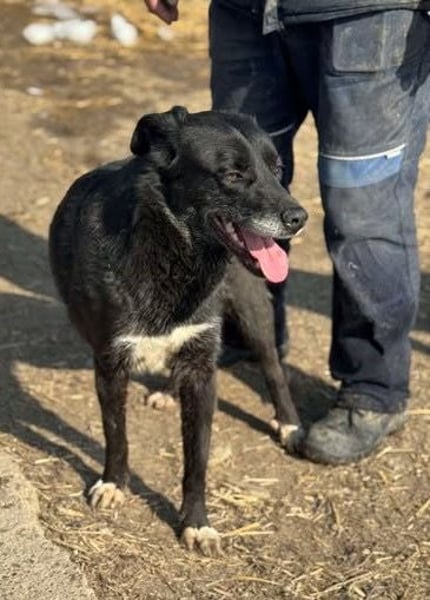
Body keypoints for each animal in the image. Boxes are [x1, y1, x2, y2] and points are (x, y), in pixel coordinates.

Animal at [48, 106, 307, 555]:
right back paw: (168, 391)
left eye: (277, 170)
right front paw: (114, 483)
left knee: (274, 369)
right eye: (233, 174)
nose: (299, 218)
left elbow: (197, 459)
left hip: (252, 313)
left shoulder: (202, 371)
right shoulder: (111, 364)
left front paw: (196, 523)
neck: (175, 255)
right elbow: (116, 434)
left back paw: (289, 424)